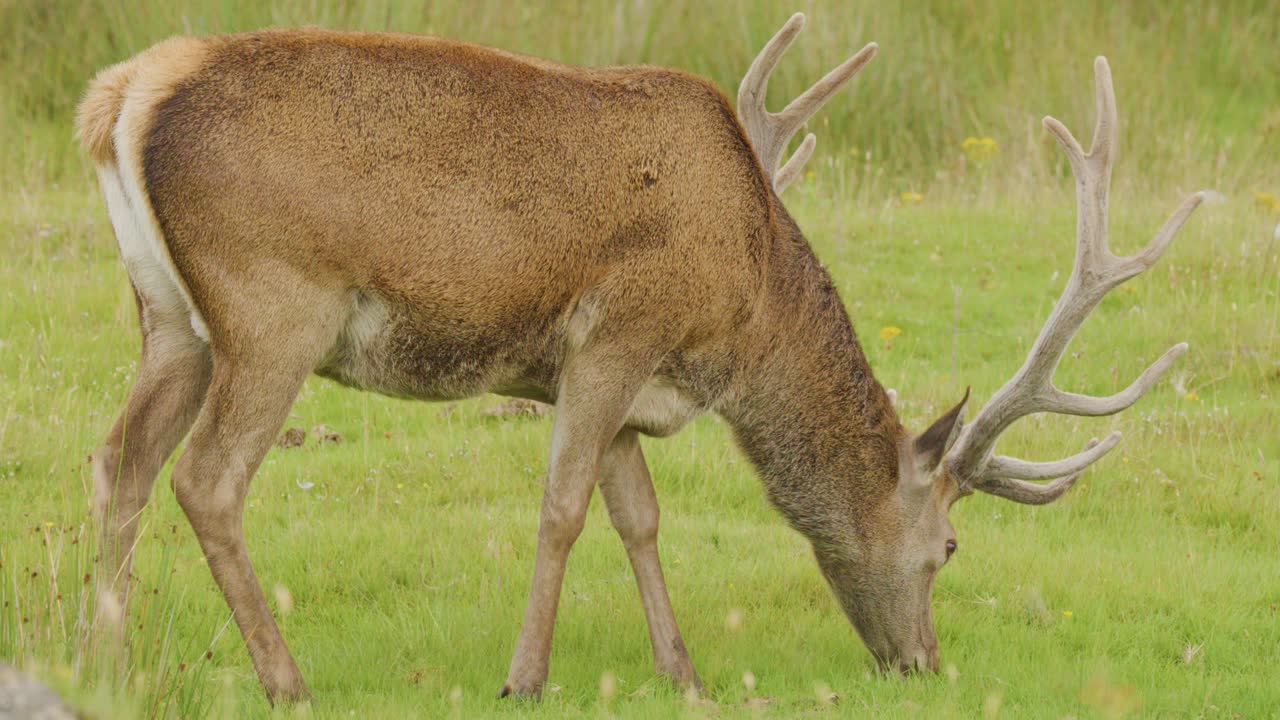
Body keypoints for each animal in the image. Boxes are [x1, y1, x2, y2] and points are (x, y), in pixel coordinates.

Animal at [76, 12, 1201, 704]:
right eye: (950, 549)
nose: (922, 665)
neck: (743, 310)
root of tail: (124, 93)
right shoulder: (612, 338)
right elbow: (565, 506)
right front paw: (523, 677)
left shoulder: (619, 384)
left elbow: (638, 515)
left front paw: (683, 672)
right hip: (275, 303)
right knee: (205, 479)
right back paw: (286, 680)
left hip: (167, 316)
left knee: (119, 460)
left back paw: (111, 666)